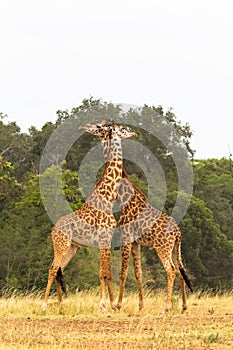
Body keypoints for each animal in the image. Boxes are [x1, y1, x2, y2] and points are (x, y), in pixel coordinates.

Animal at [41, 119, 137, 310]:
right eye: (122, 129)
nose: (134, 133)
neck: (109, 198)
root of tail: (53, 231)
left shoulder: (107, 238)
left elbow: (107, 272)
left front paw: (112, 303)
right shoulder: (102, 237)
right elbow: (102, 272)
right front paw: (102, 304)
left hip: (72, 248)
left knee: (59, 269)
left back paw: (61, 304)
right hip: (61, 244)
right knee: (52, 269)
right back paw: (45, 305)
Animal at [116, 168, 193, 314]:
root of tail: (177, 233)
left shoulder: (126, 238)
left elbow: (123, 272)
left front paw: (118, 305)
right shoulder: (135, 243)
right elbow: (138, 272)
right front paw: (140, 306)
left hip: (162, 248)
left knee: (171, 270)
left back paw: (166, 307)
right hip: (175, 248)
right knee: (181, 270)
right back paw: (184, 307)